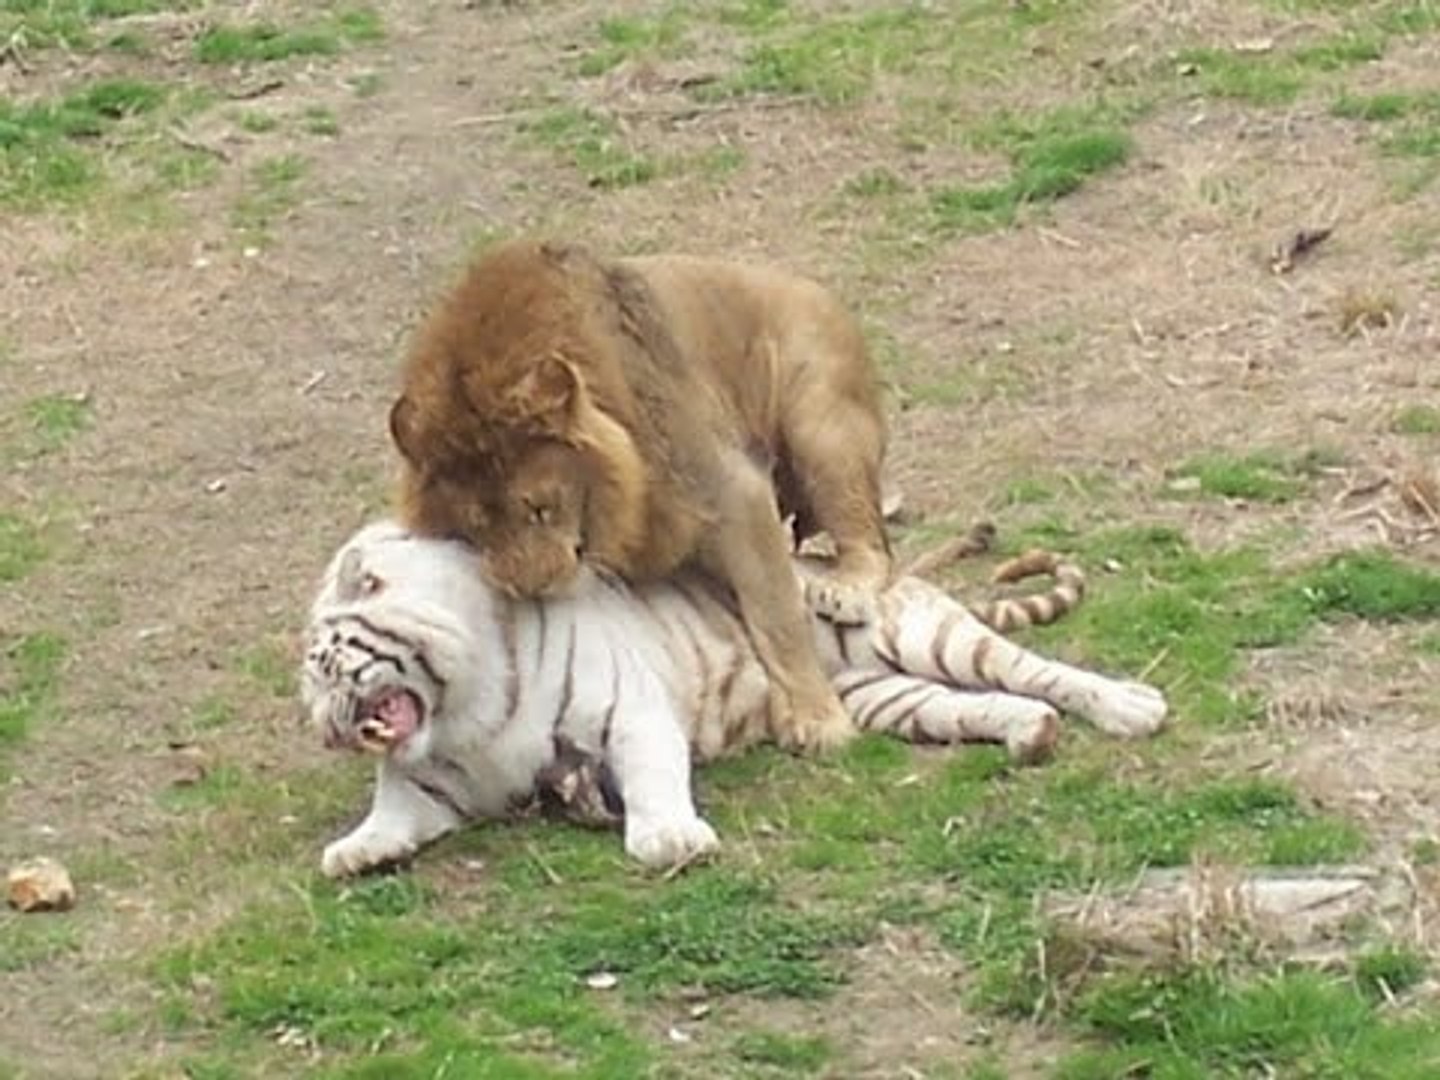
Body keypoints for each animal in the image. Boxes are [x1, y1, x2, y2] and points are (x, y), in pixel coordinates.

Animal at [301, 521, 1168, 878]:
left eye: (334, 669)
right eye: (310, 696)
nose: (327, 733)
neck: (464, 713)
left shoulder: (628, 707)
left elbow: (653, 777)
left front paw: (670, 841)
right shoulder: (431, 782)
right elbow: (390, 812)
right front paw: (354, 851)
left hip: (931, 637)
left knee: (1036, 671)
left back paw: (1132, 706)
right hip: (888, 698)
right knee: (982, 706)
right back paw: (1033, 735)